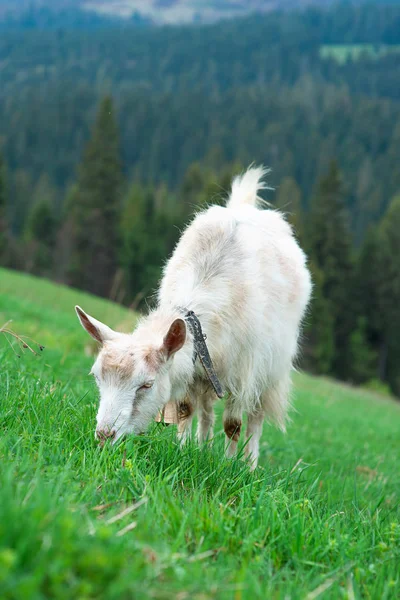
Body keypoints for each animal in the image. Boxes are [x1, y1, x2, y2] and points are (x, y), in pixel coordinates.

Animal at [76, 166, 312, 472]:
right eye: (97, 377)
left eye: (147, 385)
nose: (105, 436)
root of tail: (246, 204)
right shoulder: (192, 364)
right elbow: (185, 409)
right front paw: (184, 448)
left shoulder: (242, 372)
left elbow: (233, 425)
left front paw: (228, 465)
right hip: (207, 374)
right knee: (207, 411)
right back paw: (203, 447)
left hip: (270, 369)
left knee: (256, 416)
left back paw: (249, 464)